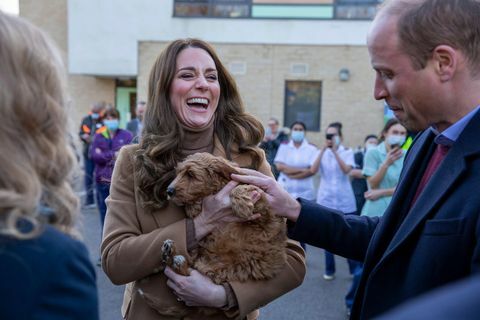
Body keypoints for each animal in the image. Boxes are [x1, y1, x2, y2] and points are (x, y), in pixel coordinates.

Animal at [163, 152, 286, 284]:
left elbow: (240, 187)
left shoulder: (263, 208)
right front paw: (192, 206)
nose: (169, 191)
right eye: (178, 173)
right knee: (190, 267)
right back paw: (171, 254)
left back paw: (174, 257)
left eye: (190, 174)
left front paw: (242, 205)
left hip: (221, 267)